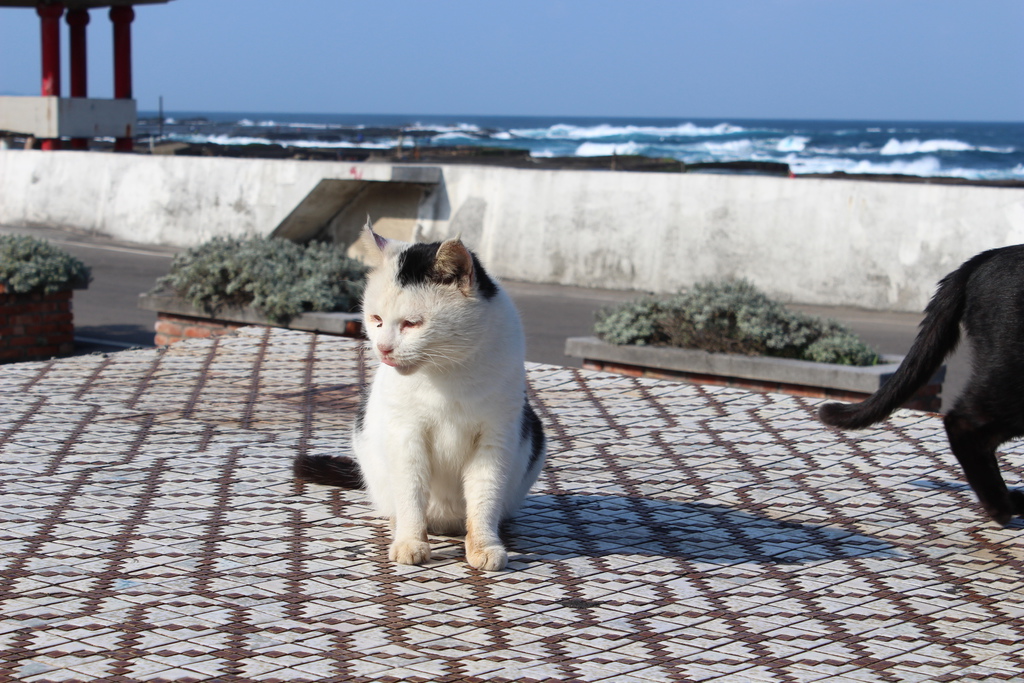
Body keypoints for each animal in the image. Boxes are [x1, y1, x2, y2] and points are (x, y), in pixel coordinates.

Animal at [296, 220, 548, 573]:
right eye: (376, 320)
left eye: (412, 324)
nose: (383, 348)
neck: (448, 376)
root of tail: (446, 523)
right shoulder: (407, 435)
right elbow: (411, 493)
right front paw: (410, 542)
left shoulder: (495, 439)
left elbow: (484, 497)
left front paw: (484, 545)